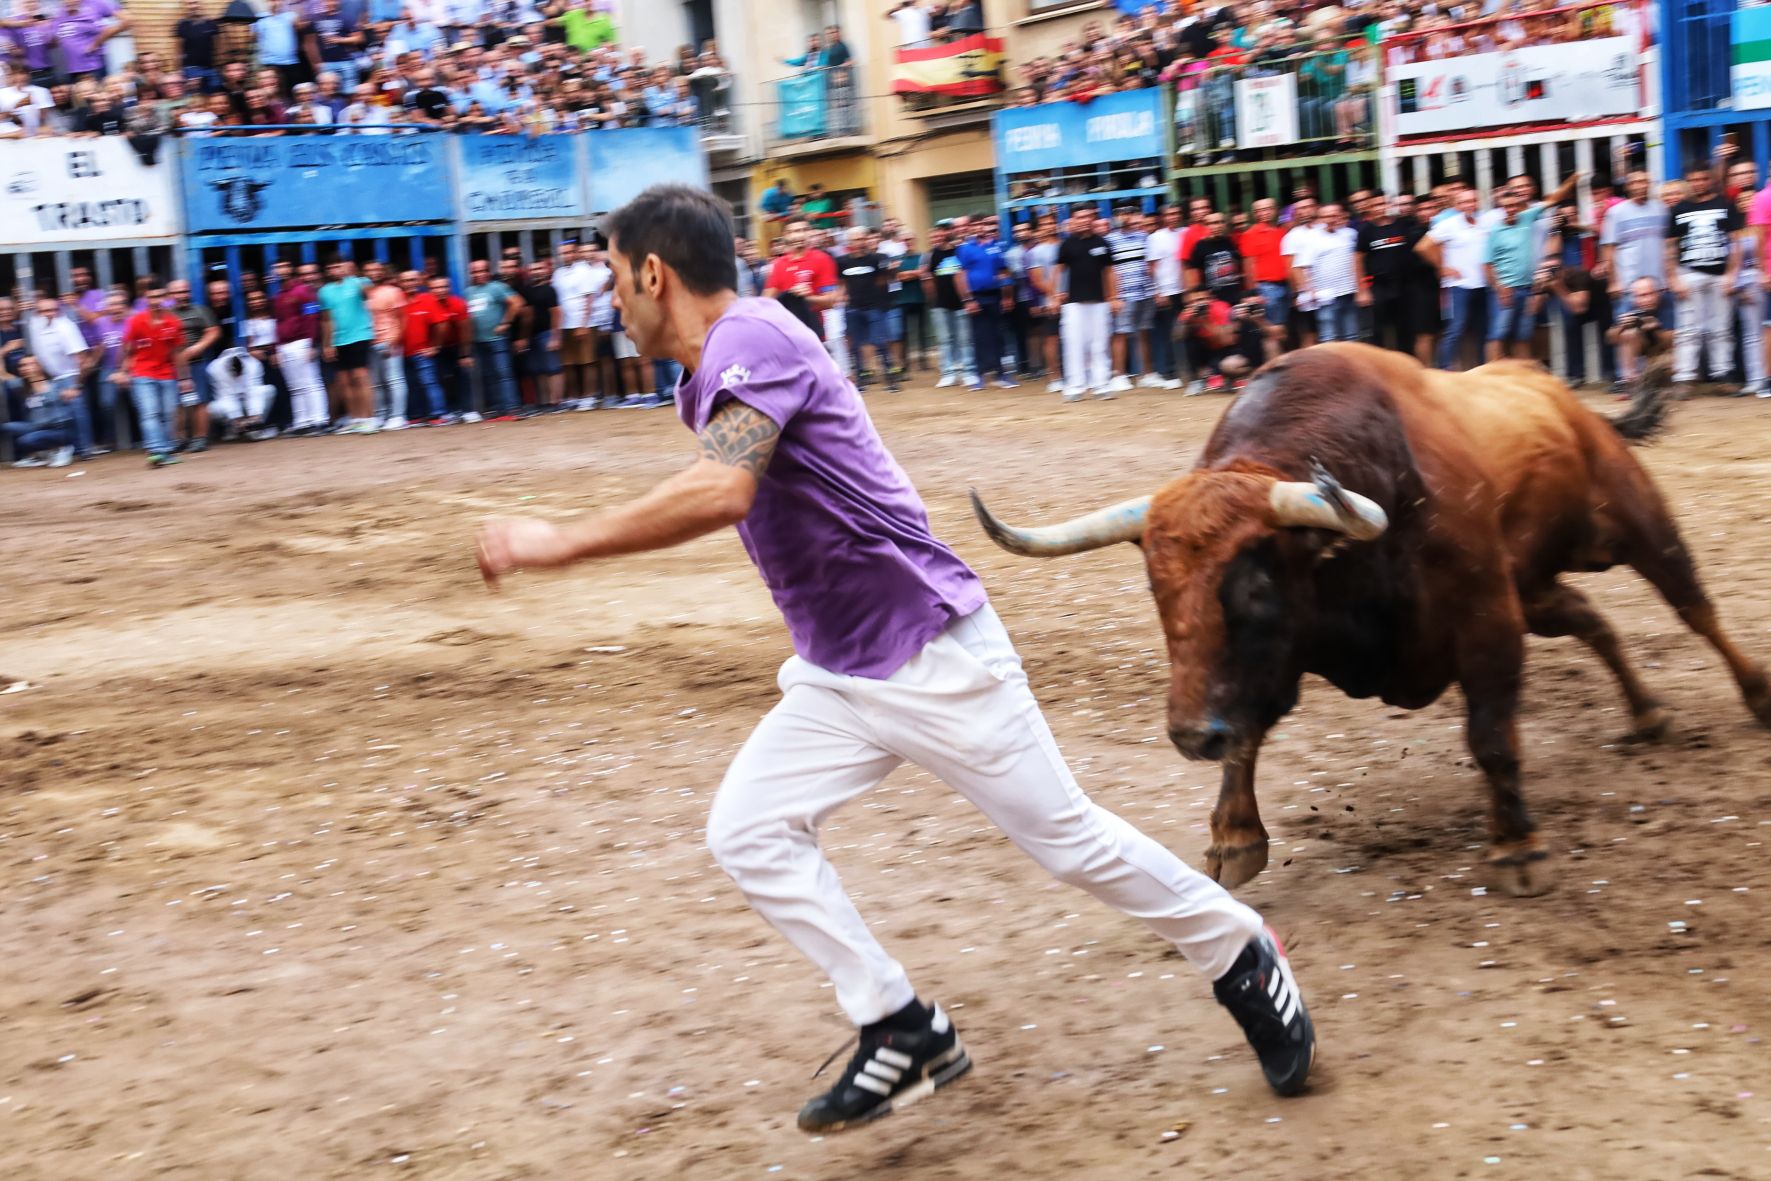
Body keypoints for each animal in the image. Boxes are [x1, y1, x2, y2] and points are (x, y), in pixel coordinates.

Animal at [970, 341, 1771, 895]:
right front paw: (1234, 837)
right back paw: (1646, 713)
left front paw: (1518, 846)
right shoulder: (1282, 655)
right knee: (1588, 616)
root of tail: (1564, 397)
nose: (1190, 735)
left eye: (1252, 588)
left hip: (1636, 521)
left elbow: (1491, 736)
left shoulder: (1487, 619)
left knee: (1694, 605)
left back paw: (1755, 693)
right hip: (1536, 587)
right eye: (1158, 592)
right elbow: (1247, 733)